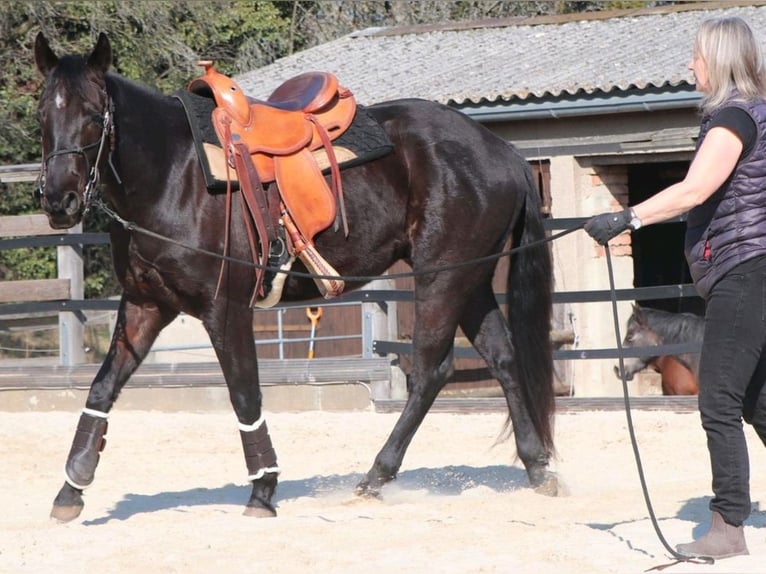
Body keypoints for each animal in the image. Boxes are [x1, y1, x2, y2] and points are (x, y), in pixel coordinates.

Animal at [34, 32, 558, 522]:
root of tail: (502, 152)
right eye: (42, 114)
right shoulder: (146, 307)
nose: (59, 201)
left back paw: (376, 475)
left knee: (432, 370)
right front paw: (70, 489)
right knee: (503, 357)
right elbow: (102, 388)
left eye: (93, 113)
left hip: (441, 278)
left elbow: (245, 397)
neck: (173, 176)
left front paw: (263, 491)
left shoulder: (225, 312)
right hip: (470, 279)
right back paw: (538, 468)